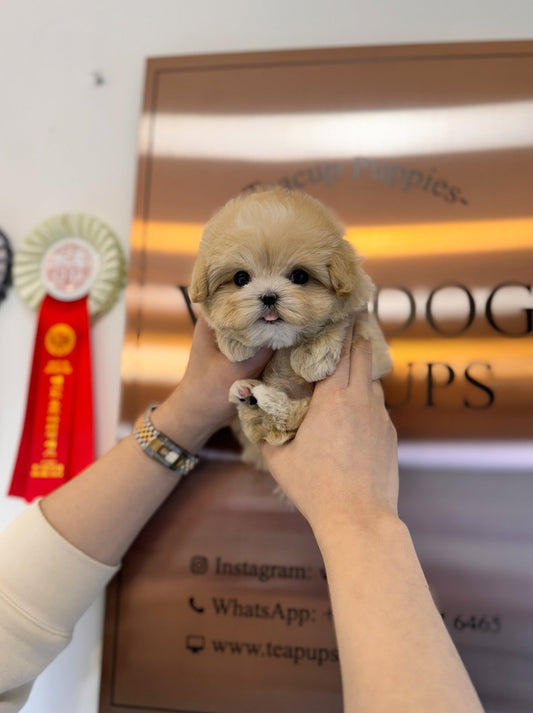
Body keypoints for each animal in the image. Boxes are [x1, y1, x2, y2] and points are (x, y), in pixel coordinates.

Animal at [188, 186, 390, 470]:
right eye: (241, 278)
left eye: (300, 276)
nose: (269, 296)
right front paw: (234, 343)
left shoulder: (359, 307)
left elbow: (339, 321)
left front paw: (312, 358)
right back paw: (248, 396)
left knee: (288, 421)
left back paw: (262, 398)